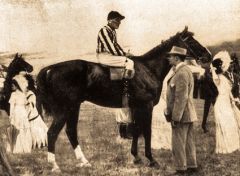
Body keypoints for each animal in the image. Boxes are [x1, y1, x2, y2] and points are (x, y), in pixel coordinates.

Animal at [36, 26, 212, 171]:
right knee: (52, 133)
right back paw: (54, 165)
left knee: (71, 131)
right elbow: (146, 131)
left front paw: (136, 156)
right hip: (64, 109)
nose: (208, 56)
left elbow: (136, 129)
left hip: (74, 107)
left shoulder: (136, 107)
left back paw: (84, 162)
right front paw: (151, 159)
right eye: (191, 40)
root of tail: (50, 69)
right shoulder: (146, 106)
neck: (148, 68)